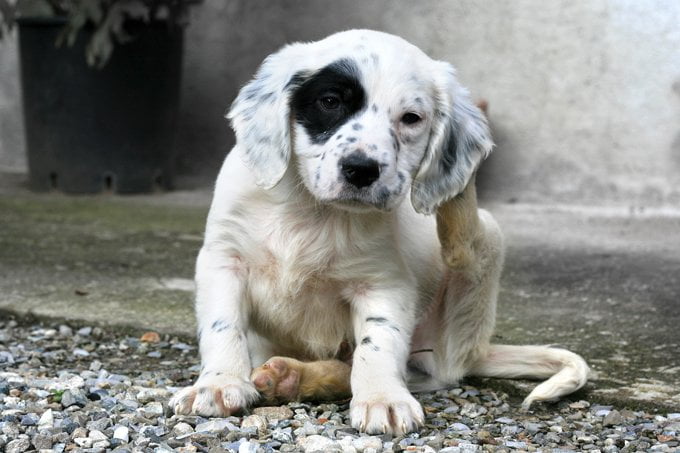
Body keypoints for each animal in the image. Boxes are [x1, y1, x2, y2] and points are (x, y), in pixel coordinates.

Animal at [170, 29, 588, 434]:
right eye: (330, 101)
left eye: (411, 118)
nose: (362, 169)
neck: (313, 211)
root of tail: (477, 350)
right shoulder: (224, 261)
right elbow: (223, 326)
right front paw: (219, 384)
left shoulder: (383, 283)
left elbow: (378, 344)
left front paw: (382, 399)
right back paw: (289, 378)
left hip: (472, 278)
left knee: (459, 263)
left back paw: (456, 200)